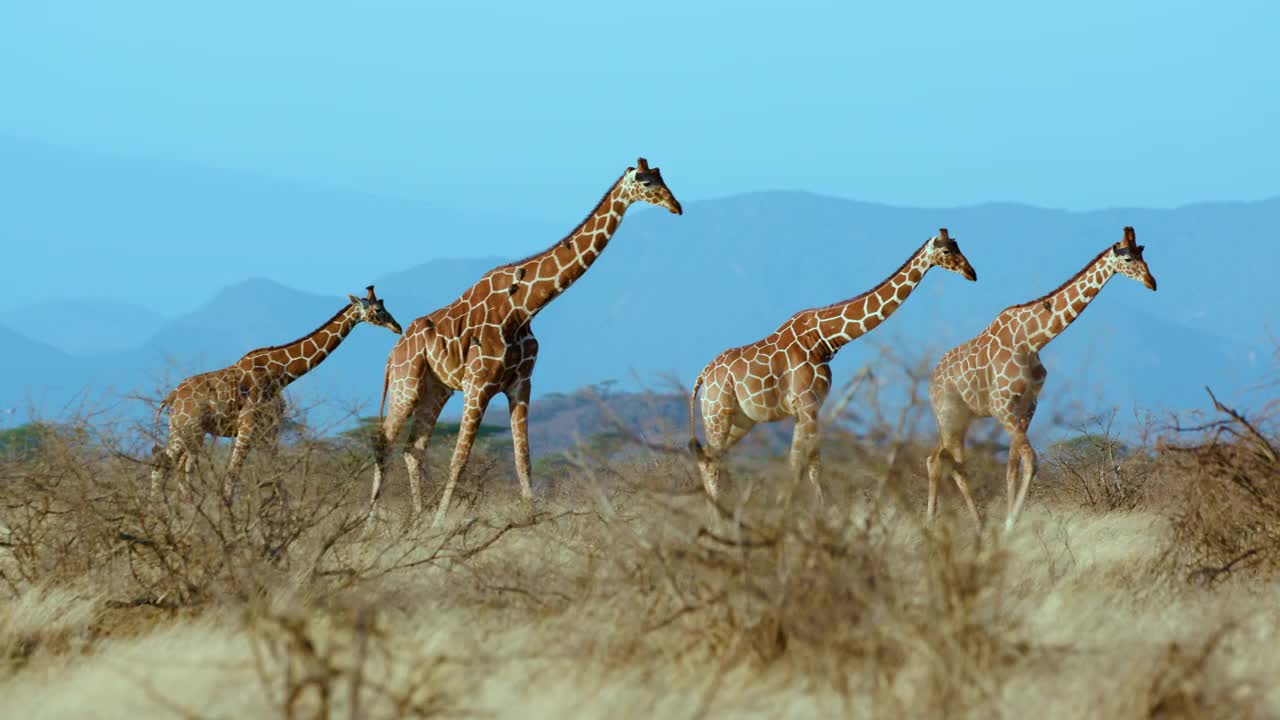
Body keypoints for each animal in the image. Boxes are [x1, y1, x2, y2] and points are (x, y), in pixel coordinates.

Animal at [155, 285, 404, 499]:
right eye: (378, 309)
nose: (398, 327)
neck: (279, 375)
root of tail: (171, 397)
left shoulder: (269, 430)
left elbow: (277, 477)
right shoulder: (247, 426)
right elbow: (233, 475)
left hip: (189, 432)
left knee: (175, 466)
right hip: (187, 429)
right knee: (163, 464)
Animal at [371, 159, 686, 525]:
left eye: (663, 177)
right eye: (646, 182)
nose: (676, 207)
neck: (522, 308)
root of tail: (392, 353)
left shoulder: (521, 383)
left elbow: (523, 458)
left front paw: (534, 518)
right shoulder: (478, 385)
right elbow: (459, 458)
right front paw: (440, 524)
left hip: (436, 388)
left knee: (413, 448)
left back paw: (417, 517)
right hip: (406, 385)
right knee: (384, 441)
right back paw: (373, 522)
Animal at [691, 228, 977, 499]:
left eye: (958, 245)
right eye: (947, 251)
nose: (971, 273)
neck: (824, 339)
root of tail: (703, 375)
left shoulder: (811, 407)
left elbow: (809, 464)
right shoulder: (806, 404)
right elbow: (802, 465)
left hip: (741, 420)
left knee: (709, 459)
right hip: (717, 413)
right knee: (711, 460)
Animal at [926, 226, 1157, 530]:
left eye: (1143, 253)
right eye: (1128, 259)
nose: (1152, 282)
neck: (1032, 340)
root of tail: (932, 379)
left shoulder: (1026, 407)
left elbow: (1013, 466)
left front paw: (1009, 520)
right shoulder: (1002, 407)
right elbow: (1031, 460)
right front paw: (1010, 524)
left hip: (962, 418)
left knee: (939, 459)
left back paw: (952, 521)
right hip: (948, 415)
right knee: (946, 461)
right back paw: (952, 523)